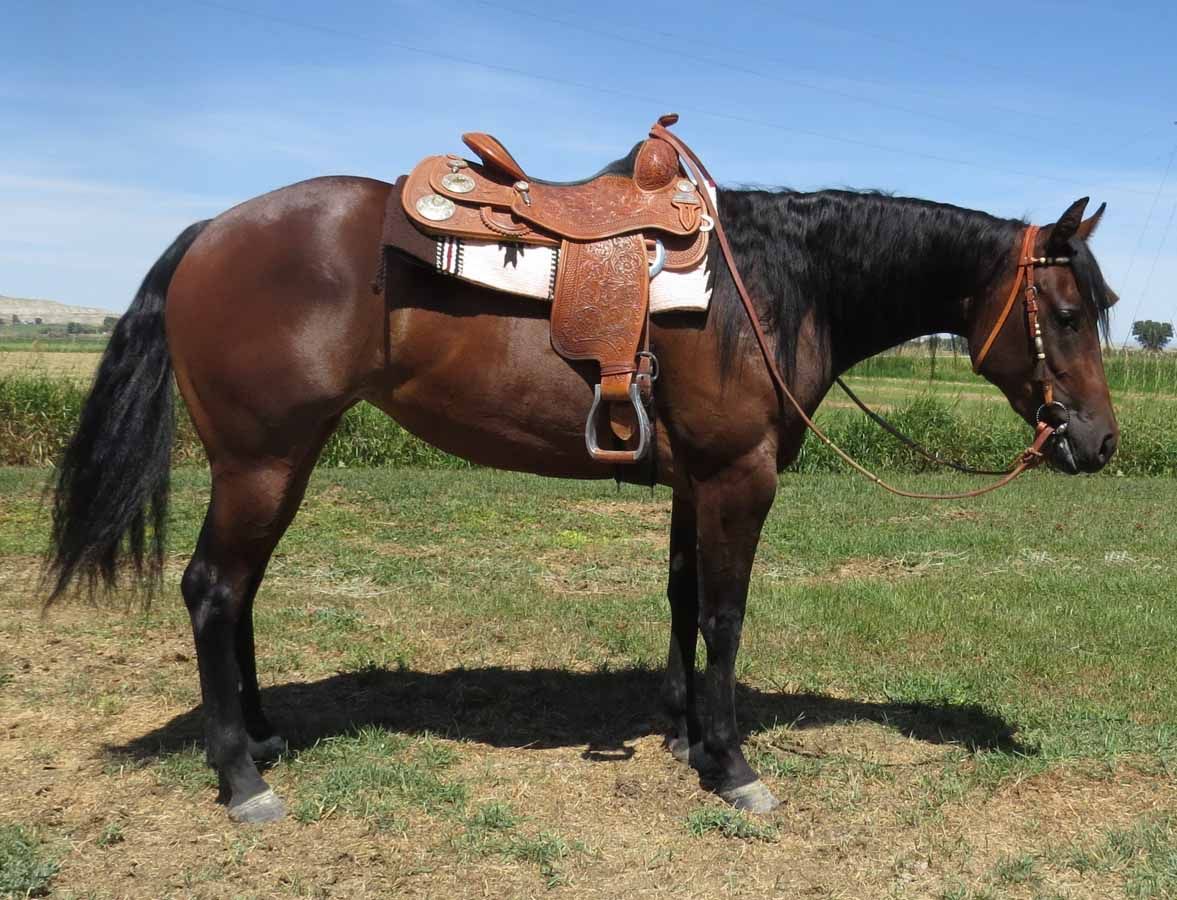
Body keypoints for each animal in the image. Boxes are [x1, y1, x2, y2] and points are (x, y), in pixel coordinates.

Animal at [45, 156, 1120, 823]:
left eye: (1103, 306)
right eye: (1066, 311)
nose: (1099, 442)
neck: (772, 289)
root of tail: (209, 231)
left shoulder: (696, 478)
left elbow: (682, 600)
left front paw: (685, 735)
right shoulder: (739, 475)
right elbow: (725, 614)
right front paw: (734, 766)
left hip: (283, 459)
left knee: (240, 592)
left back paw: (265, 735)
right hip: (261, 460)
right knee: (213, 589)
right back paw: (240, 778)